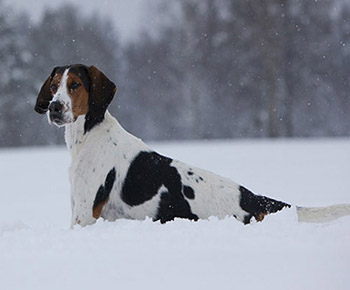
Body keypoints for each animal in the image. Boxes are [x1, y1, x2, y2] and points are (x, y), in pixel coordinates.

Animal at [34, 64, 350, 228]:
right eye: (54, 86)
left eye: (75, 85)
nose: (54, 108)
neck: (89, 133)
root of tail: (253, 198)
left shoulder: (85, 214)